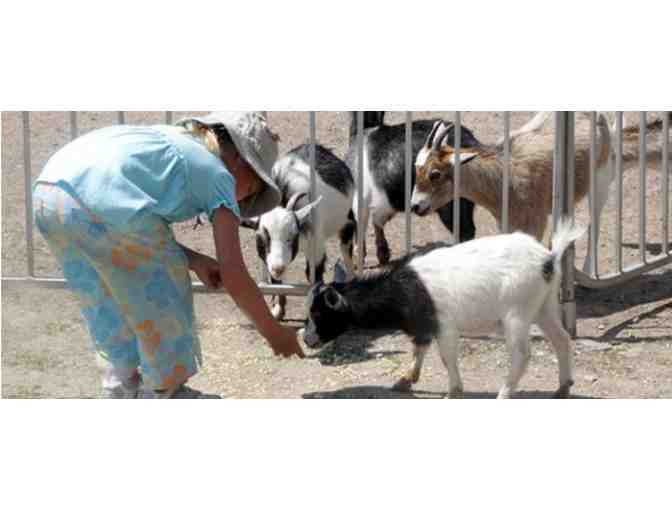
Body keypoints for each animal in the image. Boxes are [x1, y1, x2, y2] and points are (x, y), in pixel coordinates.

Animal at [242, 143, 356, 318]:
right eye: (262, 239)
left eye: (291, 236)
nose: (278, 268)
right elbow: (277, 282)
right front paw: (278, 309)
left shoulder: (316, 248)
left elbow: (313, 276)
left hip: (347, 219)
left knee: (346, 245)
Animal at [302, 221, 584, 400]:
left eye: (319, 313)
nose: (307, 339)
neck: (404, 289)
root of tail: (548, 258)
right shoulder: (424, 324)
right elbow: (419, 347)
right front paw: (405, 380)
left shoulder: (445, 327)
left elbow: (446, 357)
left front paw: (453, 393)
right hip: (545, 306)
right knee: (562, 339)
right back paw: (562, 389)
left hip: (517, 313)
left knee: (522, 355)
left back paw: (503, 395)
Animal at [344, 110, 480, 264]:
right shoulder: (383, 203)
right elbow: (377, 222)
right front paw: (383, 254)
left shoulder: (362, 200)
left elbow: (363, 226)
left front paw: (360, 259)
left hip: (450, 204)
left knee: (465, 231)